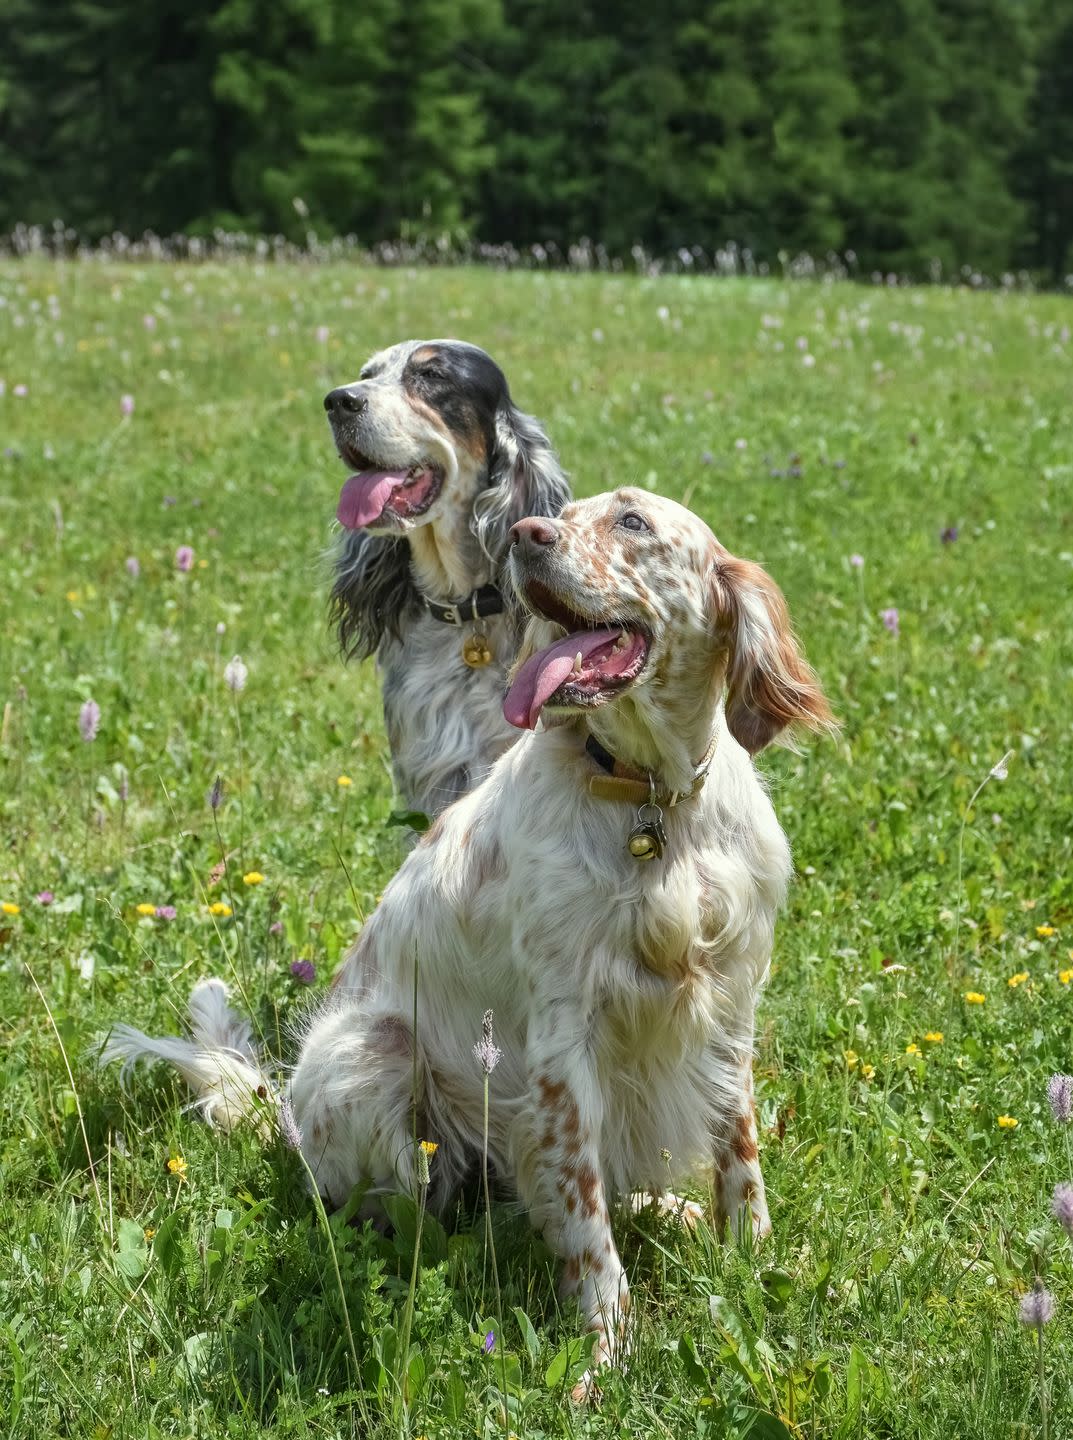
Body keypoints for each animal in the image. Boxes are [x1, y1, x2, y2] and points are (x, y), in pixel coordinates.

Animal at [104, 489, 835, 1399]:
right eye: (565, 510)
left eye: (630, 521)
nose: (523, 534)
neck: (650, 801)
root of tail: (288, 1121)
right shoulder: (563, 1041)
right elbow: (582, 1213)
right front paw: (603, 1348)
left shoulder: (728, 1004)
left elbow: (738, 1156)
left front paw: (755, 1266)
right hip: (374, 1056)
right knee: (422, 1210)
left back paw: (672, 1210)